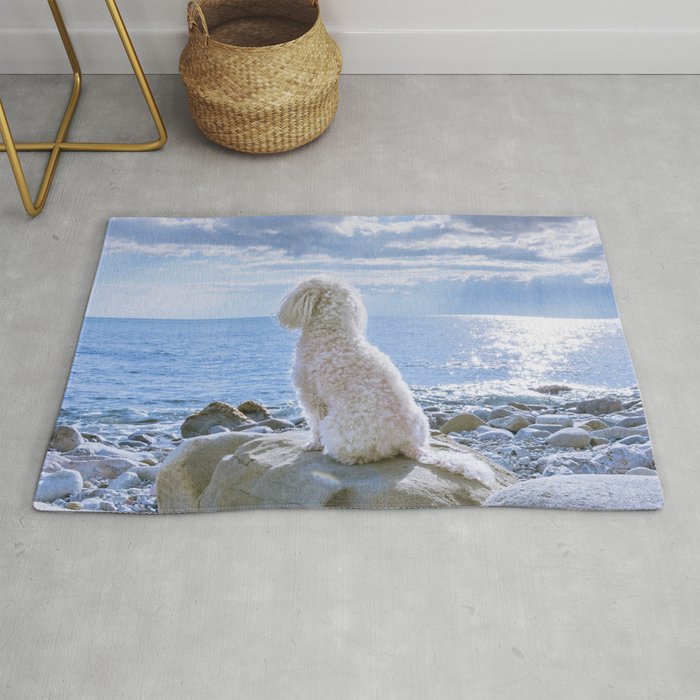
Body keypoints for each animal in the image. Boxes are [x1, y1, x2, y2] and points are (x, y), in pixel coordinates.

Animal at [276, 276, 494, 484]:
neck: (331, 333)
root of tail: (408, 442)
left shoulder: (312, 397)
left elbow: (314, 424)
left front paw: (312, 444)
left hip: (337, 428)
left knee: (360, 455)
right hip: (421, 420)